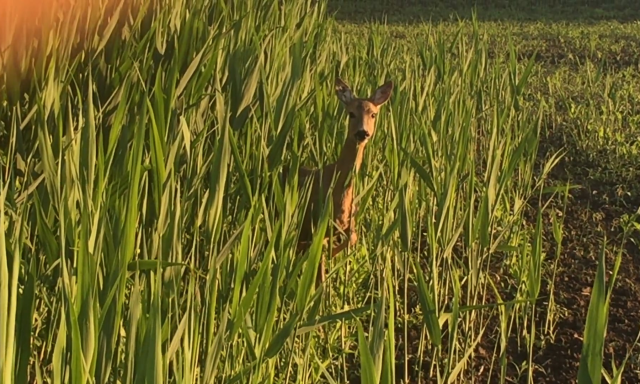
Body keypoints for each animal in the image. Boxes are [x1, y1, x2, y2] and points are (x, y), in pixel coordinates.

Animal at [282, 77, 392, 288]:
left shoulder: (346, 220)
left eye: (373, 114)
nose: (362, 133)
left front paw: (334, 254)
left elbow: (353, 237)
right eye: (351, 113)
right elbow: (319, 269)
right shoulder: (317, 223)